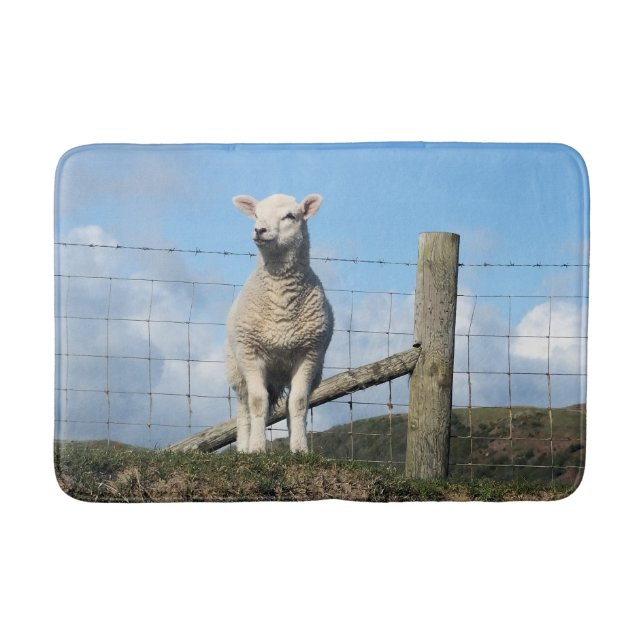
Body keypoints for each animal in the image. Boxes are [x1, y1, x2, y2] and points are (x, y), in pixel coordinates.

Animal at [225, 193, 334, 453]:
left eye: (290, 216)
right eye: (256, 214)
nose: (259, 229)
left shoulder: (310, 354)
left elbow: (299, 403)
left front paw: (300, 449)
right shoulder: (250, 352)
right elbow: (257, 402)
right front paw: (256, 448)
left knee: (287, 405)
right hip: (237, 369)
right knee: (244, 408)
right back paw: (243, 447)